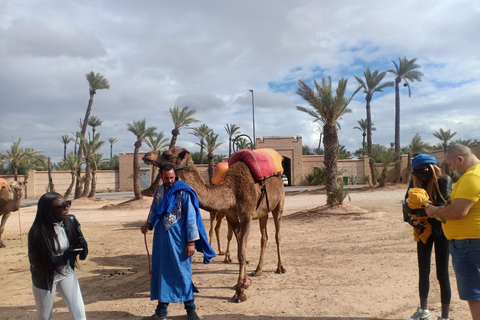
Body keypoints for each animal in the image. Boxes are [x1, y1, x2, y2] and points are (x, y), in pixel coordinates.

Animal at [142, 148, 284, 302]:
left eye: (167, 154)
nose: (146, 156)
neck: (232, 191)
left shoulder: (247, 215)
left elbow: (241, 253)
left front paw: (240, 293)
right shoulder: (232, 215)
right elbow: (240, 248)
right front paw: (243, 283)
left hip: (279, 204)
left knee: (277, 235)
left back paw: (280, 268)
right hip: (263, 212)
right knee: (264, 237)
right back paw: (258, 270)